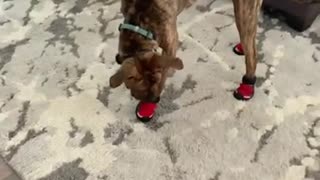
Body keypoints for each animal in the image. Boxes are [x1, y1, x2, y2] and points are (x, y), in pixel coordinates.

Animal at [110, 0, 262, 102]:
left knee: (252, 54)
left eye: (156, 81)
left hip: (242, 10)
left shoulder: (170, 43)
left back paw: (247, 84)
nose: (153, 100)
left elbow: (166, 69)